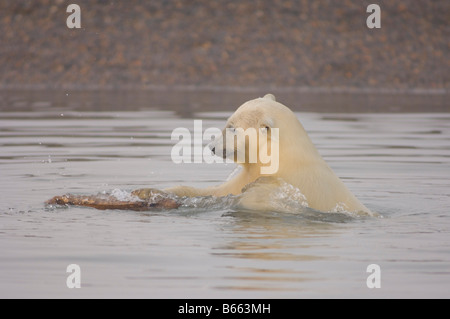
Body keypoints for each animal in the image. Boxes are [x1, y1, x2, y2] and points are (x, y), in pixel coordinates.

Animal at [155, 94, 370, 214]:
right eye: (228, 123)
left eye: (232, 127)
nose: (212, 147)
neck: (285, 160)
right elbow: (216, 192)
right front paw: (162, 192)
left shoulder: (293, 184)